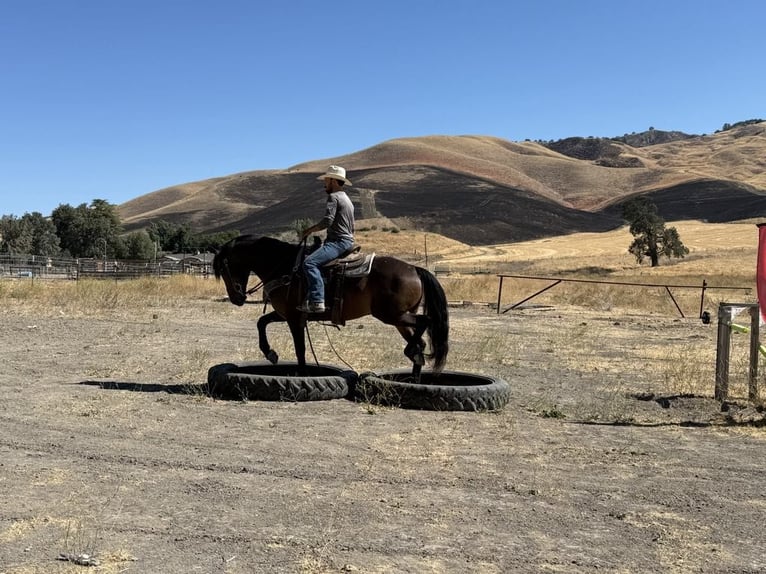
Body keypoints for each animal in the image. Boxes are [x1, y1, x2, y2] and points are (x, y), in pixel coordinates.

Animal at [212, 234, 449, 377]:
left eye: (223, 269)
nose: (236, 298)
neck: (284, 266)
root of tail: (414, 269)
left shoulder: (294, 319)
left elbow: (300, 350)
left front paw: (301, 374)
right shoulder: (287, 314)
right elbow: (261, 322)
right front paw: (270, 353)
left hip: (391, 315)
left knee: (425, 323)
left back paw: (411, 354)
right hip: (399, 318)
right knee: (420, 342)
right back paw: (414, 374)